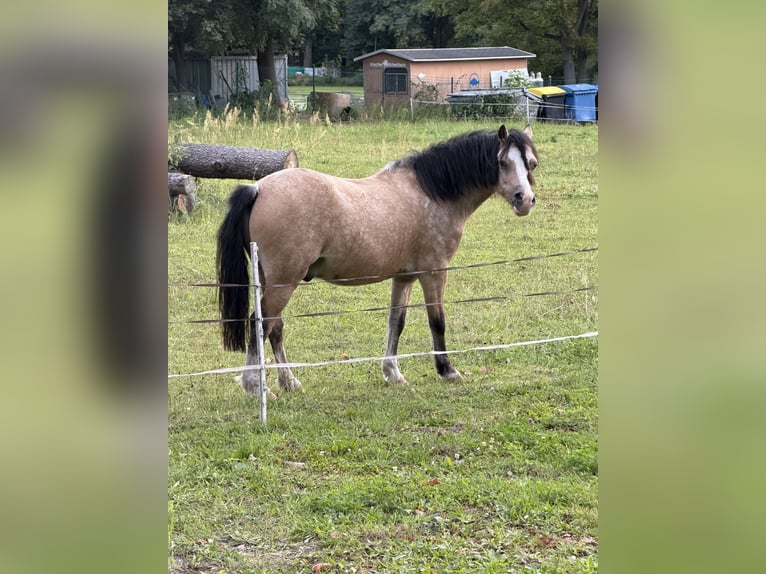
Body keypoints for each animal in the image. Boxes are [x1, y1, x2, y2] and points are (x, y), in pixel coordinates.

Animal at [216, 124, 538, 395]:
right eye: (502, 162)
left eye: (531, 164)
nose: (524, 200)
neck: (432, 192)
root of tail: (257, 188)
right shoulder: (434, 272)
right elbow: (437, 321)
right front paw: (446, 370)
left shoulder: (404, 277)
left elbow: (396, 321)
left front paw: (392, 372)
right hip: (284, 281)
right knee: (260, 323)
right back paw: (255, 385)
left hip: (272, 280)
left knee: (275, 327)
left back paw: (289, 381)